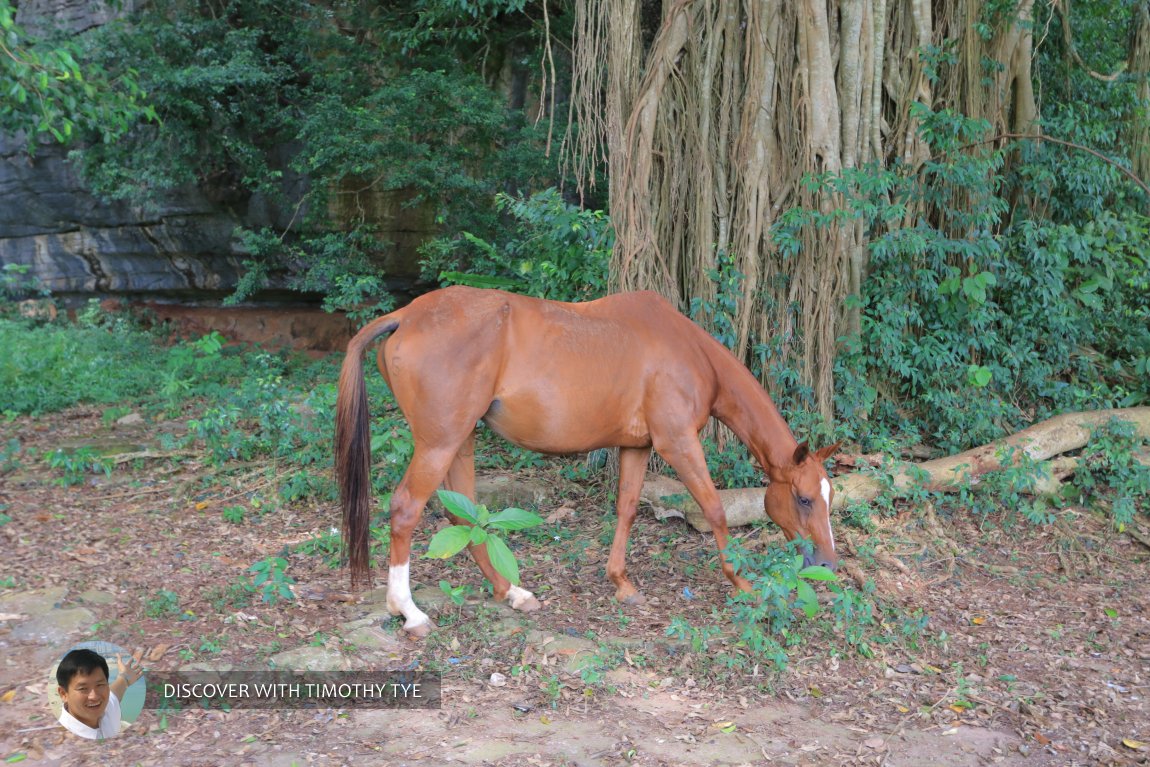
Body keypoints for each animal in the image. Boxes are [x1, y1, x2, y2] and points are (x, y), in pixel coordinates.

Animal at [335, 287, 841, 634]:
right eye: (803, 499)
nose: (829, 563)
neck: (688, 350)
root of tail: (405, 316)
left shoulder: (637, 447)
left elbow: (627, 508)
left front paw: (621, 583)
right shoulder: (678, 443)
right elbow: (714, 509)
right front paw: (742, 583)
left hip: (460, 442)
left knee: (464, 515)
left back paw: (511, 592)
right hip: (439, 443)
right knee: (406, 511)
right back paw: (409, 612)